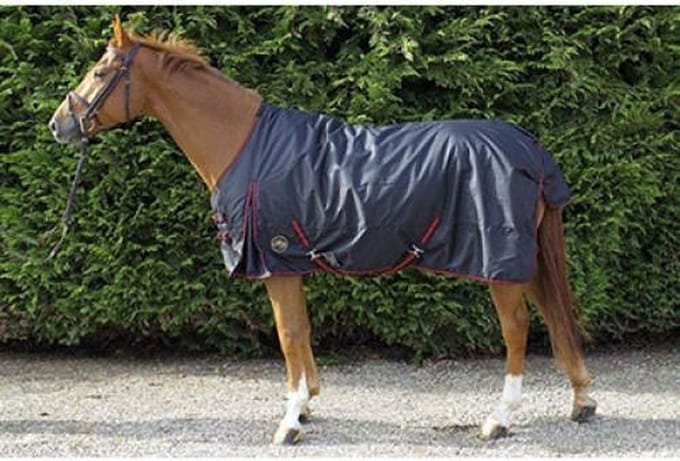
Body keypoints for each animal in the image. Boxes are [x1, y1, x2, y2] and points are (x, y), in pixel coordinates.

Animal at [49, 16, 597, 445]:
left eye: (100, 71)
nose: (58, 125)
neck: (243, 144)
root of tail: (529, 148)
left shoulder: (275, 260)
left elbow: (288, 334)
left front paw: (291, 420)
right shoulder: (290, 261)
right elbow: (303, 332)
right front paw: (308, 403)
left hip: (498, 261)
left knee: (517, 326)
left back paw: (499, 419)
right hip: (524, 257)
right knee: (553, 312)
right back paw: (581, 400)